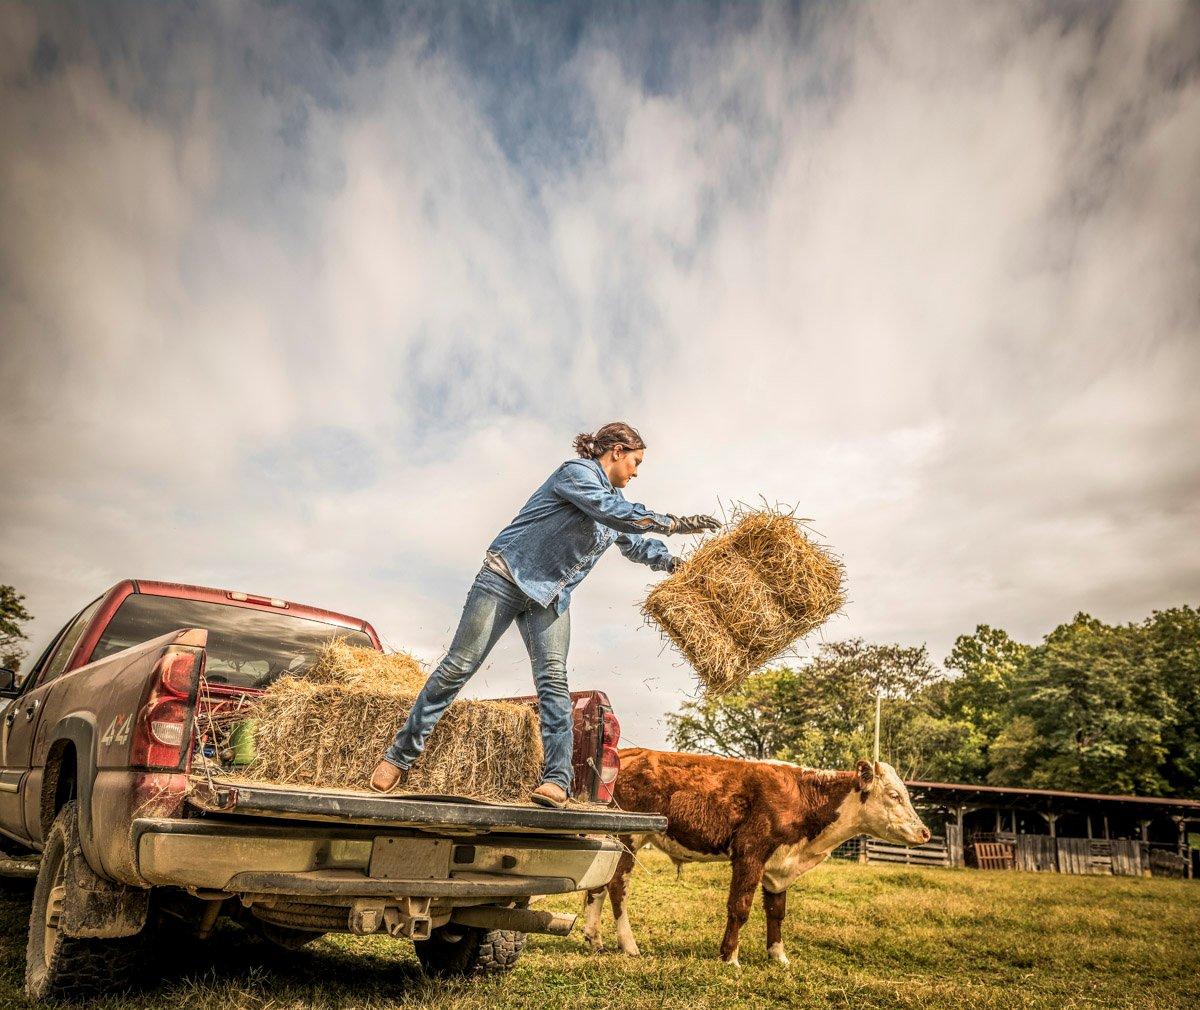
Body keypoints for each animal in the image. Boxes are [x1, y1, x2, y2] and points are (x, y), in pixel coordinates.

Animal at [585, 743, 931, 964]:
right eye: (894, 795)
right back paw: (629, 945)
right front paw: (729, 957)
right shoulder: (750, 853)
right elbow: (740, 908)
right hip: (629, 836)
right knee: (617, 888)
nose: (925, 832)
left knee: (596, 887)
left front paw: (778, 956)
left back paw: (594, 939)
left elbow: (776, 911)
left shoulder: (779, 865)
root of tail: (627, 754)